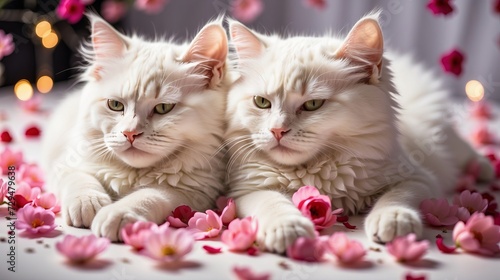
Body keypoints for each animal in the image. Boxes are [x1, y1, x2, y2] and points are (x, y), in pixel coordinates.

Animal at [42, 15, 229, 241]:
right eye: (115, 105)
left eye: (163, 108)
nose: (129, 133)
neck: (134, 175)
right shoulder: (65, 164)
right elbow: (79, 178)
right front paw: (88, 203)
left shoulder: (194, 191)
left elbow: (148, 196)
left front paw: (116, 214)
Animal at [225, 12, 494, 254]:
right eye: (261, 102)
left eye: (313, 105)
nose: (277, 130)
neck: (317, 171)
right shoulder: (247, 191)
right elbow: (272, 203)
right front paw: (288, 229)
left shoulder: (419, 177)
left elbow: (397, 196)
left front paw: (393, 220)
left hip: (444, 138)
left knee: (466, 151)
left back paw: (486, 168)